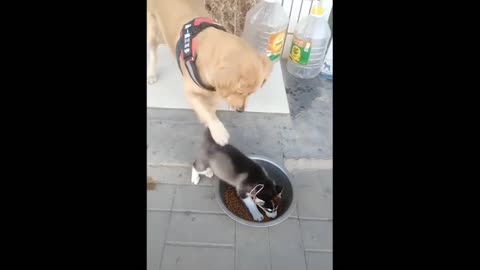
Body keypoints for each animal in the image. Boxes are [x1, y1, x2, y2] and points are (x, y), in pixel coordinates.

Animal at [146, 0, 274, 146]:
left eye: (251, 93)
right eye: (239, 92)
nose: (241, 110)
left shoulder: (215, 92)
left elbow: (211, 107)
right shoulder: (191, 93)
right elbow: (206, 111)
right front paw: (218, 131)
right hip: (153, 31)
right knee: (153, 52)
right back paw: (151, 74)